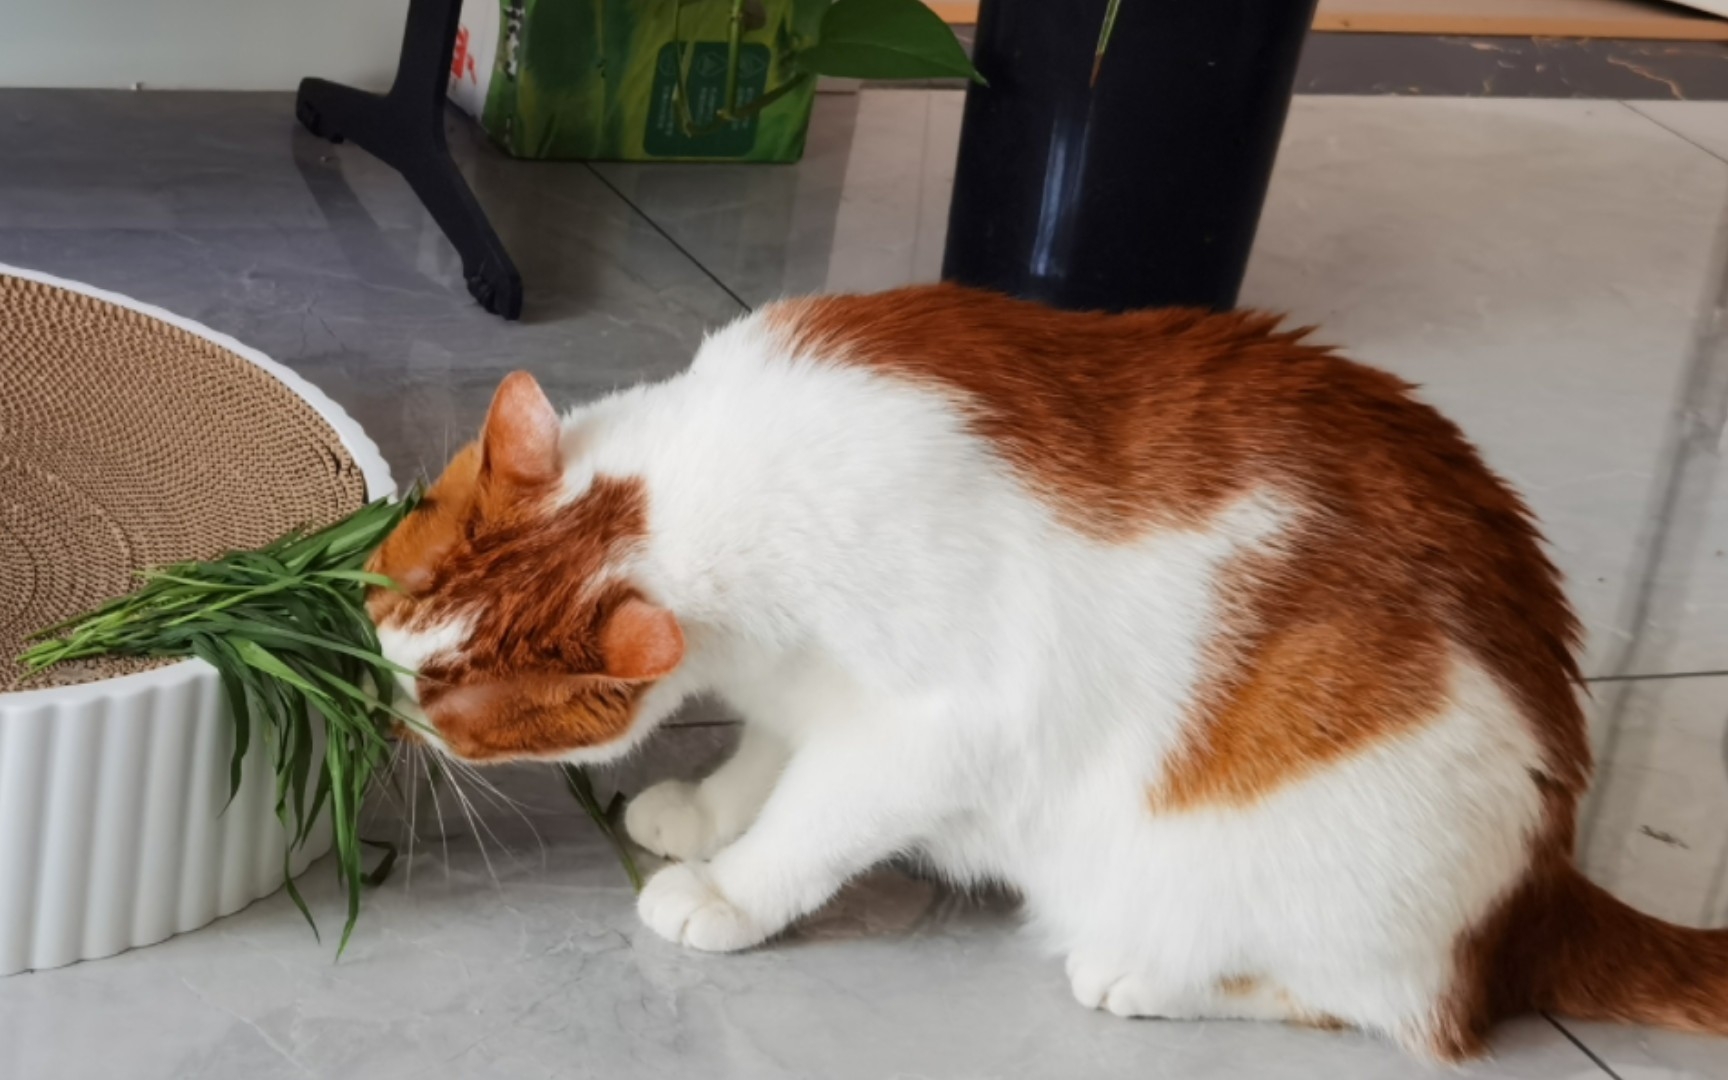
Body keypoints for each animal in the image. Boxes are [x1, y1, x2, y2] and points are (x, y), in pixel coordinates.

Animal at [368, 281, 1728, 1057]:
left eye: (456, 704)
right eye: (390, 598)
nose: (375, 686)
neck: (695, 496)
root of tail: (1546, 887)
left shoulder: (938, 725)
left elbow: (815, 819)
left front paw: (728, 888)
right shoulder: (809, 693)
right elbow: (766, 758)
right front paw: (703, 813)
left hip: (1323, 883)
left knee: (1395, 1009)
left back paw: (1143, 972)